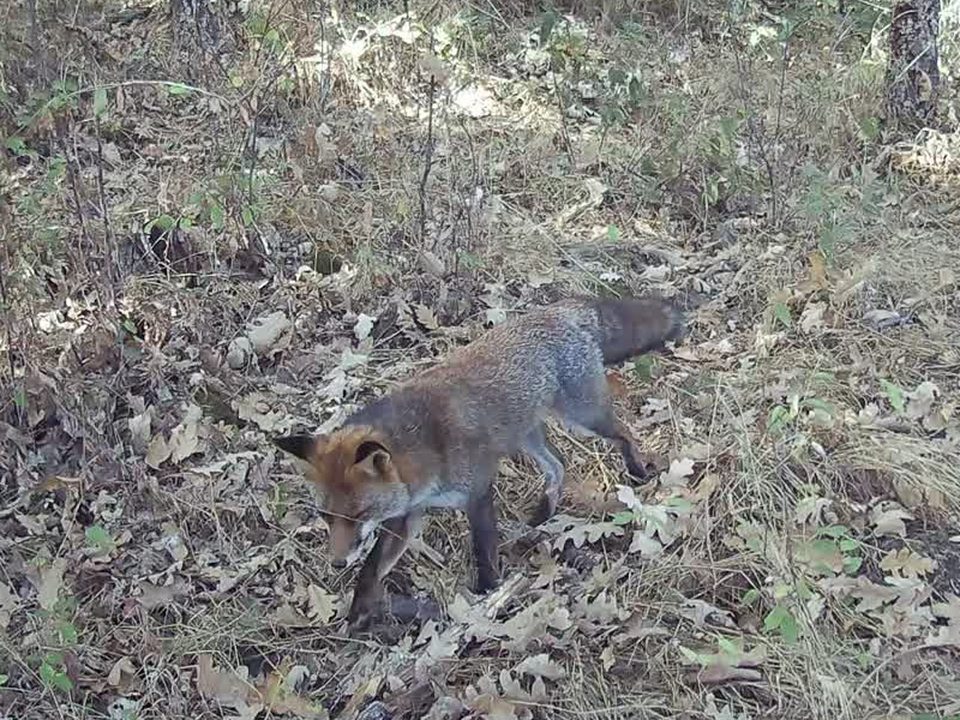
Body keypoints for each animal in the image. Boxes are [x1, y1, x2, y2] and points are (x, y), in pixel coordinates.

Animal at [274, 295, 684, 629]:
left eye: (358, 515)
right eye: (326, 517)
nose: (337, 563)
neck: (426, 446)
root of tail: (558, 310)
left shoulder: (478, 490)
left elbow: (483, 550)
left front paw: (486, 596)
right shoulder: (407, 515)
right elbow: (373, 568)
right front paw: (360, 609)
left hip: (584, 417)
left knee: (624, 434)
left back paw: (637, 470)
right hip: (527, 435)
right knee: (559, 465)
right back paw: (541, 517)